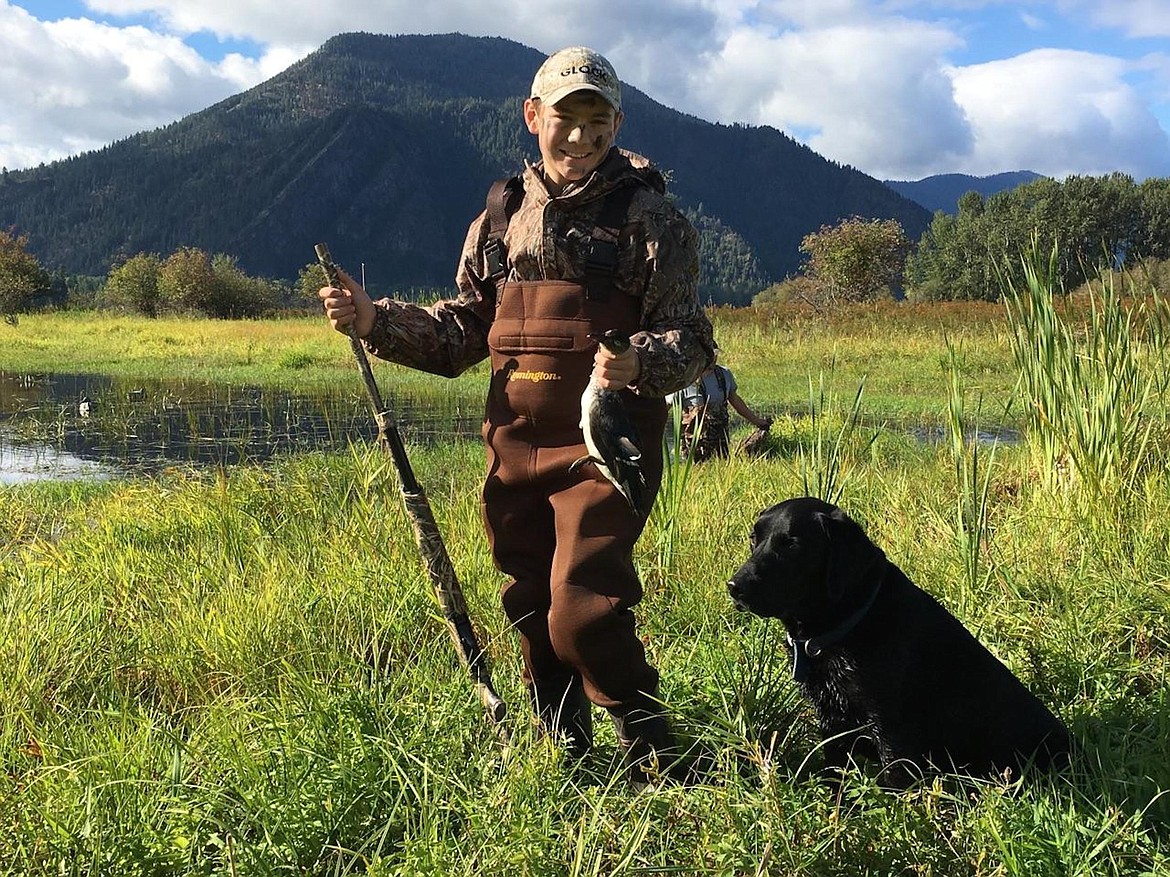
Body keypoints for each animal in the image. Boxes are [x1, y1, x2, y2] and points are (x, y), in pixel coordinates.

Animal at [725, 498, 1071, 785]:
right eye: (754, 538)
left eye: (792, 544)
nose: (735, 586)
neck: (851, 621)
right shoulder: (831, 723)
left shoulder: (892, 731)